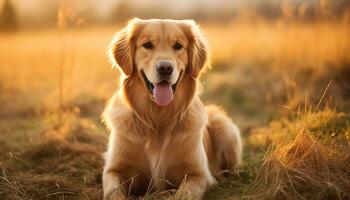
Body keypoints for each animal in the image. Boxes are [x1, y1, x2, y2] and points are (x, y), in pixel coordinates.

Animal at [102, 18, 242, 199]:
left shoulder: (198, 174)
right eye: (147, 45)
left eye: (177, 46)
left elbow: (186, 191)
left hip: (223, 125)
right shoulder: (114, 170)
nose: (165, 68)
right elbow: (113, 190)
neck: (158, 118)